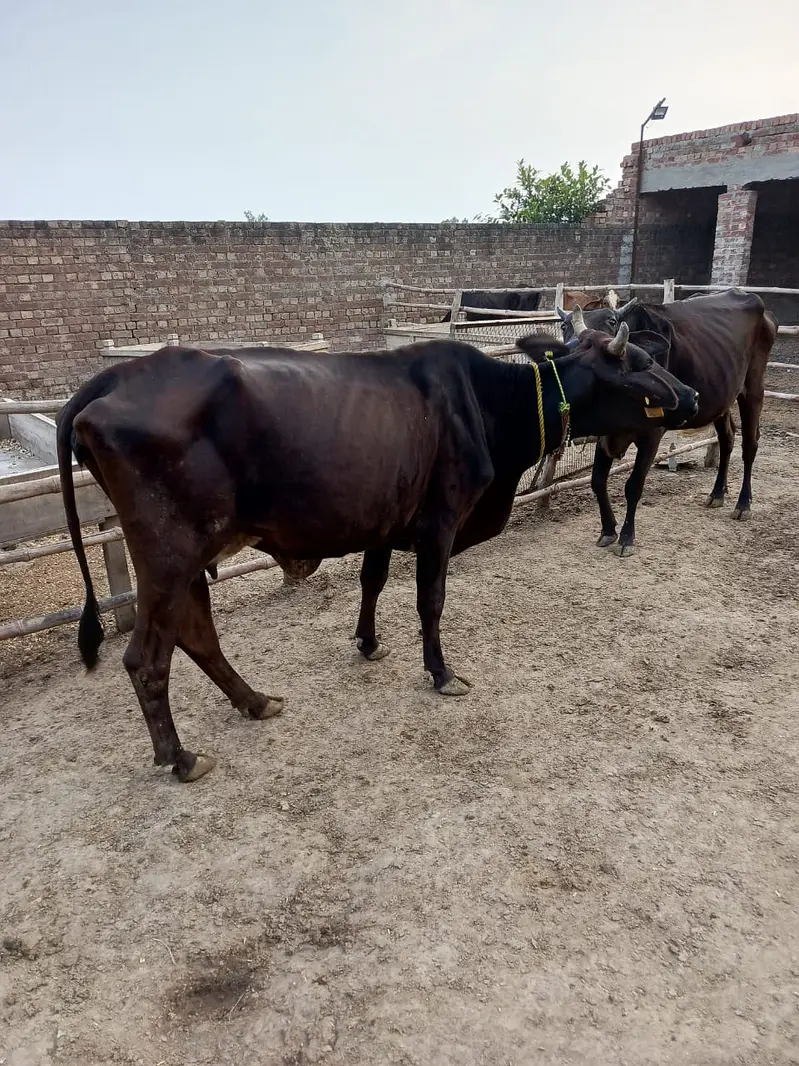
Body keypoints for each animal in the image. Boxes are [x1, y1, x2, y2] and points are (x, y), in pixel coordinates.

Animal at [56, 334, 698, 783]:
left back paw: (256, 702)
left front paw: (368, 643)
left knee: (198, 637)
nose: (690, 394)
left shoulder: (386, 523)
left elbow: (373, 580)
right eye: (639, 362)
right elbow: (430, 600)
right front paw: (441, 672)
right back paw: (180, 757)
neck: (485, 404)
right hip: (168, 552)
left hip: (190, 556)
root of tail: (116, 374)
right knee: (146, 658)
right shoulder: (441, 520)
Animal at [556, 290, 778, 556]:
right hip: (721, 396)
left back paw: (743, 504)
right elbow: (597, 480)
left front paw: (626, 538)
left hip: (753, 388)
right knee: (727, 438)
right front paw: (608, 530)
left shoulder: (652, 433)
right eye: (563, 326)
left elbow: (633, 485)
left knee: (750, 444)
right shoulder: (605, 435)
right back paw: (717, 493)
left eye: (612, 322)